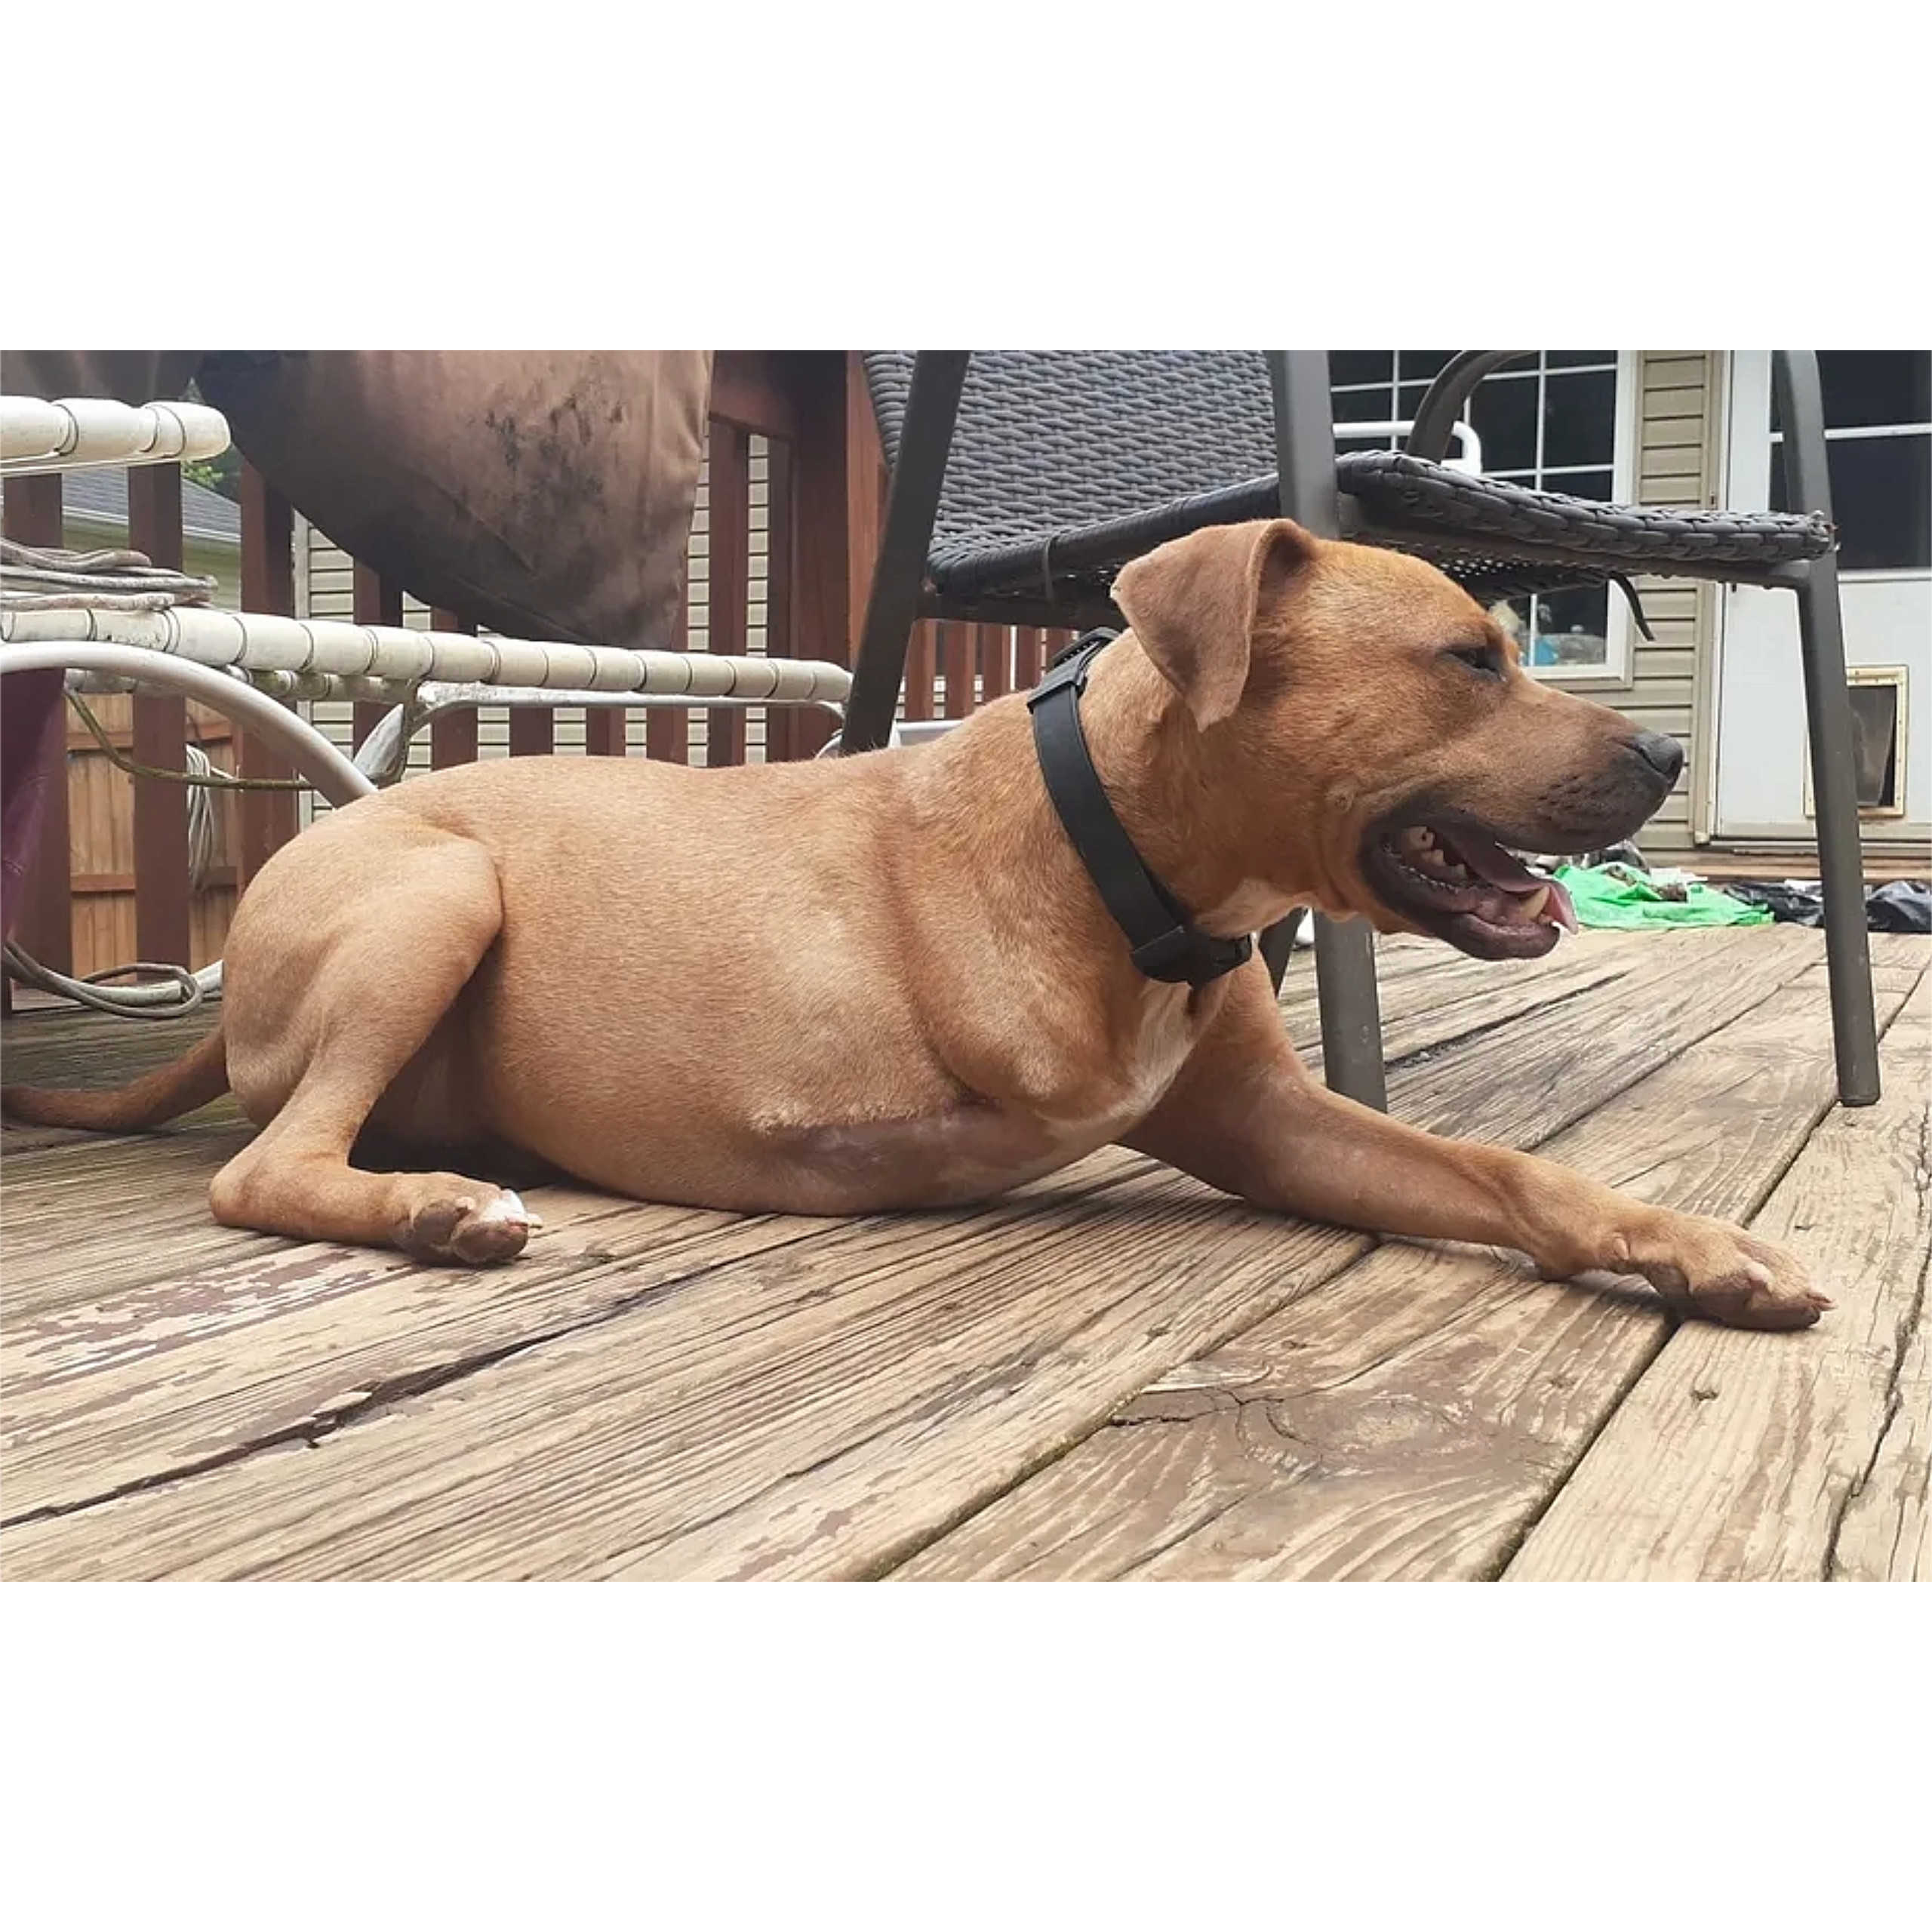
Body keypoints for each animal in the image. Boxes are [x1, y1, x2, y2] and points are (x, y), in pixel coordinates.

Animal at [0, 518, 1831, 1329]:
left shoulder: (1271, 1121)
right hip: (437, 889)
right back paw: (438, 1205)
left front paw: (1693, 1246)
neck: (1127, 861)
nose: (1666, 755)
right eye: (1469, 658)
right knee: (263, 1167)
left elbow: (1511, 1174)